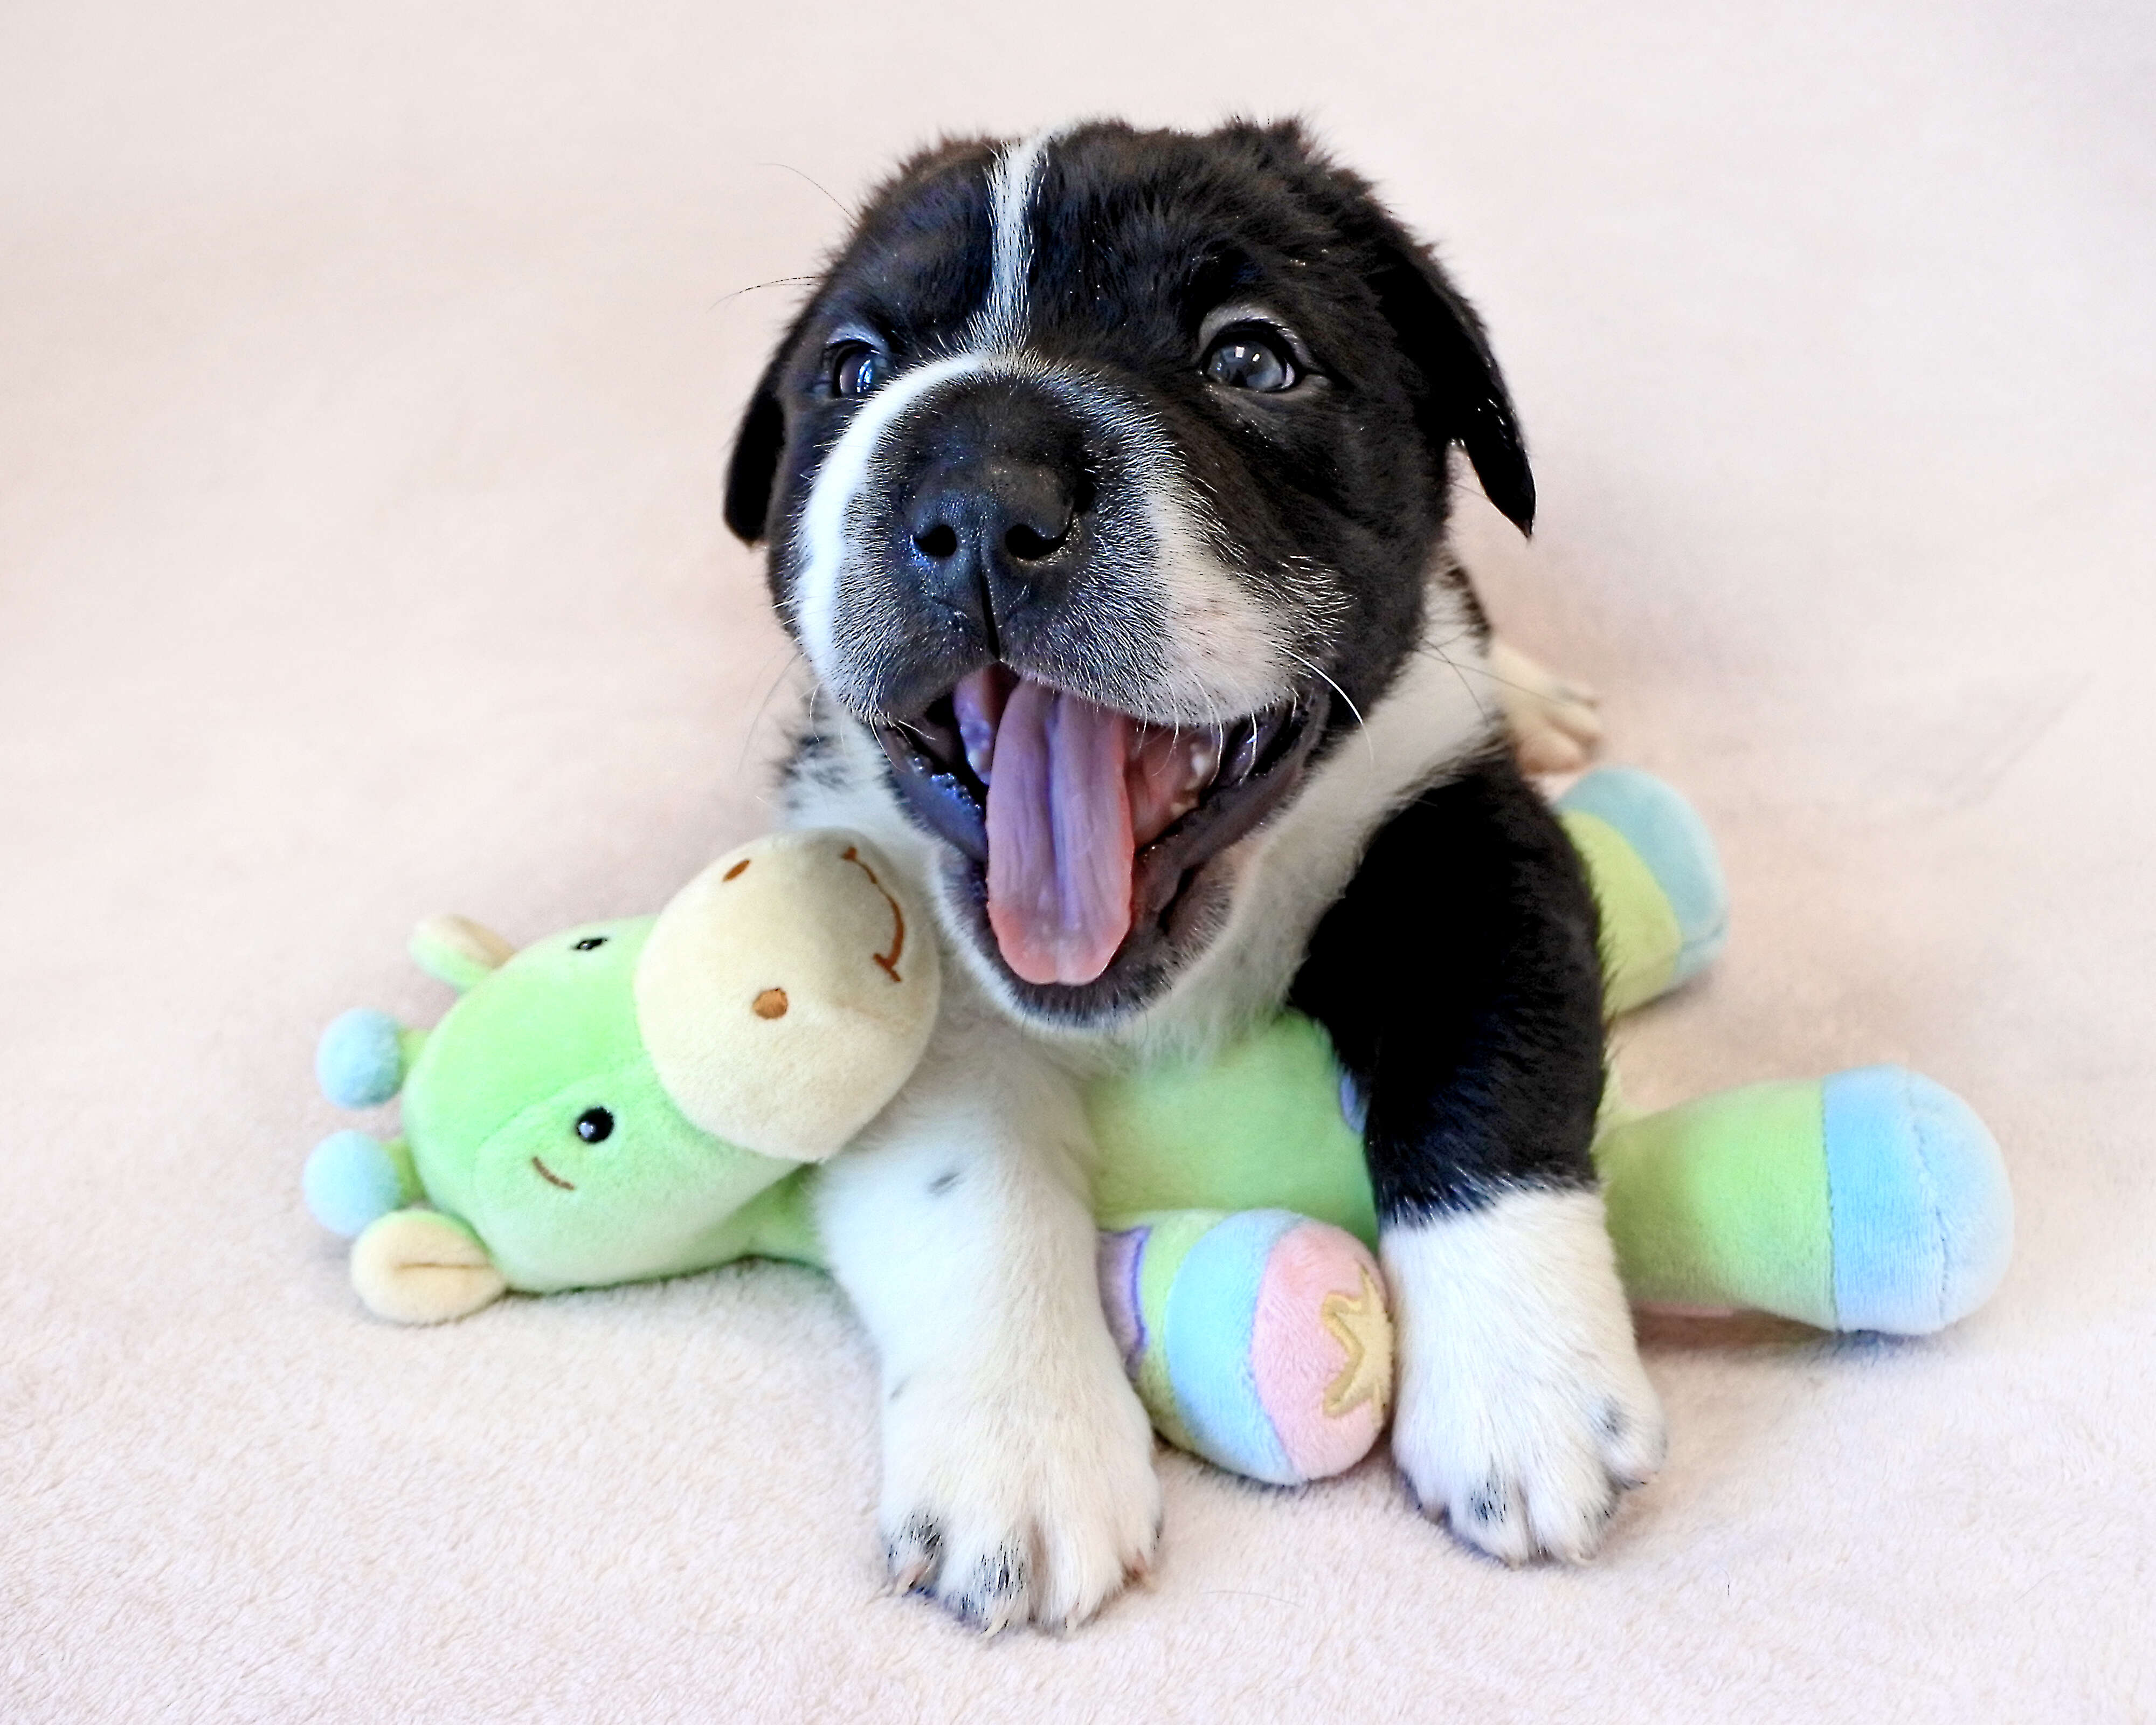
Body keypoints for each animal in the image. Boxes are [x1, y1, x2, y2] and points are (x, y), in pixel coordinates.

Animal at [724, 121, 1664, 1630]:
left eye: (1252, 359)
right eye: (854, 370)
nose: (980, 493)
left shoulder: (1462, 834)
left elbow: (1488, 1082)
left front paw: (1526, 1387)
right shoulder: (892, 963)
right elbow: (967, 1189)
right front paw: (1019, 1449)